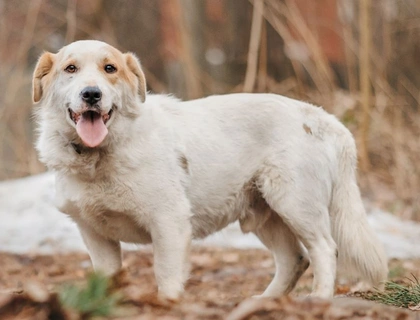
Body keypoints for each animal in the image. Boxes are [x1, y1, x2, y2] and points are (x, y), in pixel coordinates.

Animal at [32, 39, 388, 300]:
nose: (91, 94)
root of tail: (321, 117)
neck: (99, 156)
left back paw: (319, 300)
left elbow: (166, 277)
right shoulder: (95, 235)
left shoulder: (169, 223)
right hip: (265, 215)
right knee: (295, 260)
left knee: (325, 250)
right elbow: (107, 282)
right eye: (71, 69)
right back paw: (264, 303)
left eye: (110, 69)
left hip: (296, 204)